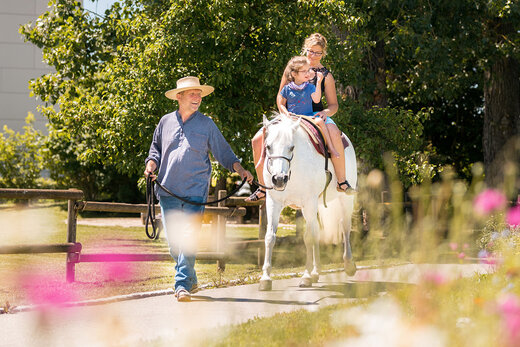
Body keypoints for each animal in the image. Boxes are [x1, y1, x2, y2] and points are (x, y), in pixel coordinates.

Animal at [260, 114, 358, 290]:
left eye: (291, 147)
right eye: (268, 146)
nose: (279, 179)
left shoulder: (308, 202)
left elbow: (308, 239)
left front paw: (305, 276)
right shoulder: (274, 203)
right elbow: (270, 237)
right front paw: (266, 278)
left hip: (344, 200)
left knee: (345, 227)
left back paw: (348, 265)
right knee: (317, 230)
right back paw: (316, 272)